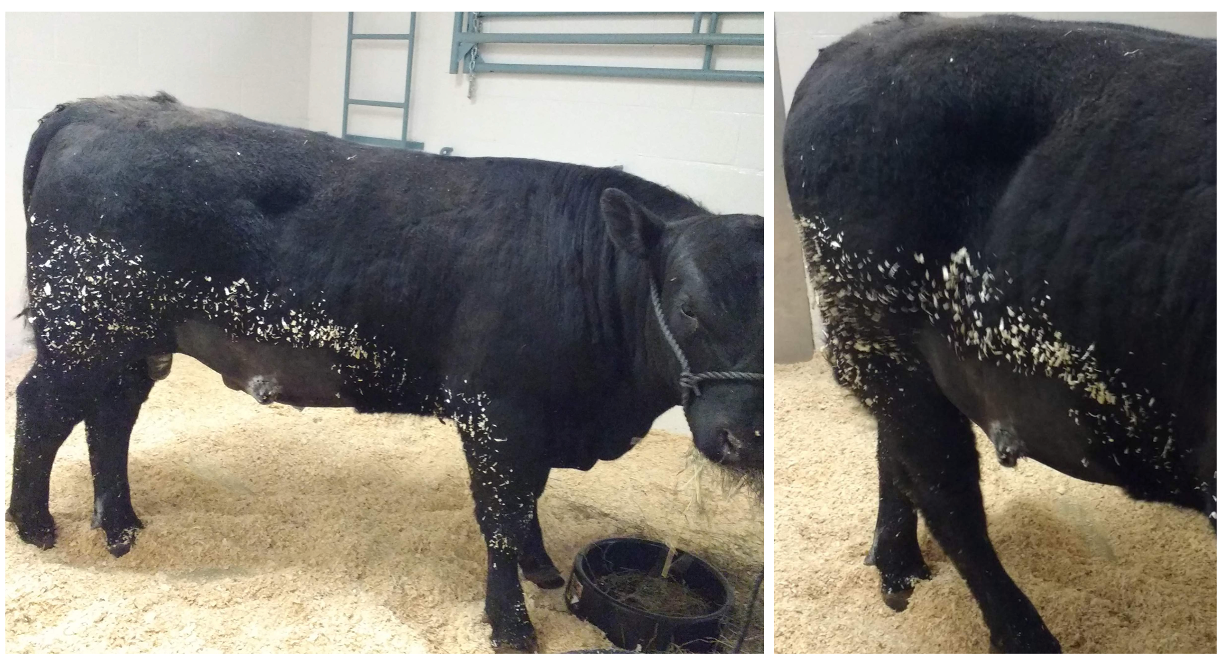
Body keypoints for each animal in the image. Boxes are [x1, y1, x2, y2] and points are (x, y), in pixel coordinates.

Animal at [8, 93, 764, 653]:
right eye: (688, 307)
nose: (744, 438)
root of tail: (89, 108)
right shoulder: (498, 415)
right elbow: (501, 517)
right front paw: (511, 625)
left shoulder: (537, 426)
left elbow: (530, 506)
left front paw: (542, 568)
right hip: (81, 327)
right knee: (42, 407)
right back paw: (34, 523)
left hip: (130, 343)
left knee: (110, 417)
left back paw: (121, 524)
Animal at [784, 14, 1214, 653]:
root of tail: (869, 34)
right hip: (874, 330)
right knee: (947, 494)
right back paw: (1021, 635)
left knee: (896, 453)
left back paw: (898, 573)